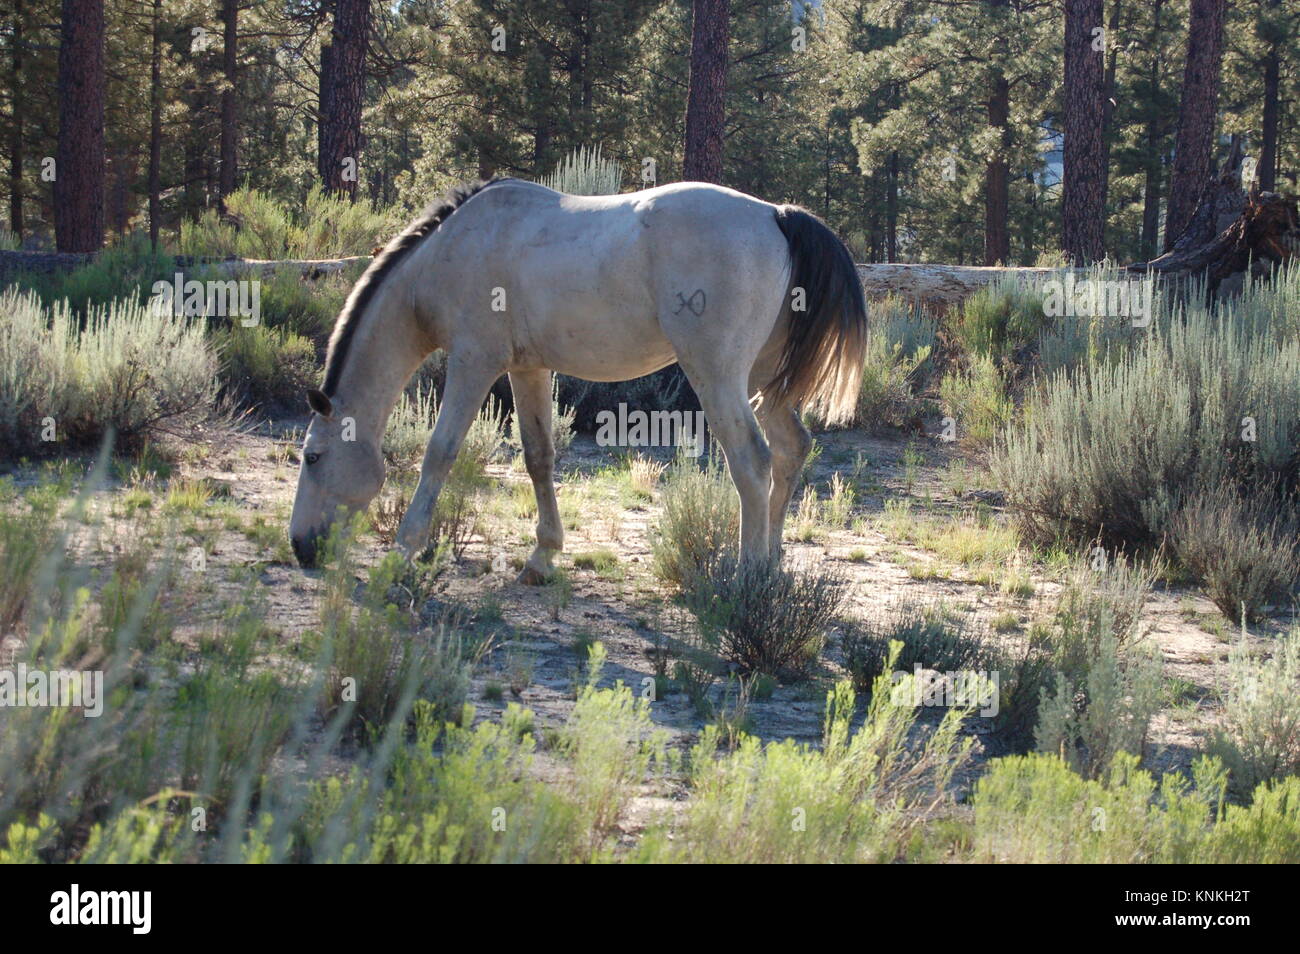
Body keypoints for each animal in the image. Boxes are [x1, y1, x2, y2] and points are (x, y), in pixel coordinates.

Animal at [289, 180, 868, 582]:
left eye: (312, 457)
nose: (301, 548)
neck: (451, 253)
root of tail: (776, 214)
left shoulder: (473, 362)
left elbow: (440, 453)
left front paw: (404, 550)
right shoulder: (527, 368)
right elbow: (538, 456)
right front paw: (543, 556)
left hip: (718, 376)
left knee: (752, 461)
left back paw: (746, 578)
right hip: (766, 384)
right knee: (791, 449)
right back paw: (773, 565)